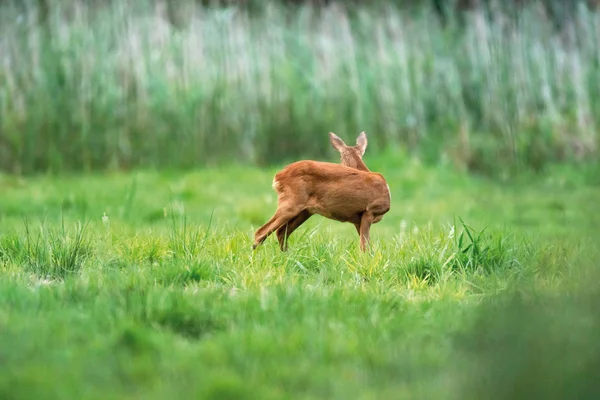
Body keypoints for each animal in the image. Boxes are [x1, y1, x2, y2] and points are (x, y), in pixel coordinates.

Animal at [252, 131, 390, 252]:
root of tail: (278, 176)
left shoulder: (358, 219)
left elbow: (364, 244)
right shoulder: (370, 211)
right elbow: (365, 247)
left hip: (305, 211)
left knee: (281, 232)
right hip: (291, 203)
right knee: (260, 232)